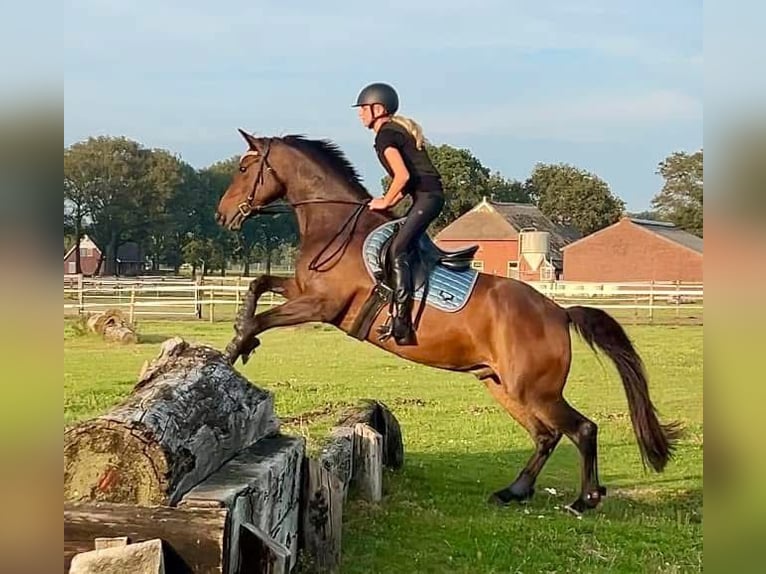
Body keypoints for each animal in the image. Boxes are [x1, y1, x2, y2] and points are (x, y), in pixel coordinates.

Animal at [214, 129, 682, 515]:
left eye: (243, 168)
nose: (221, 214)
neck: (335, 224)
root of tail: (558, 312)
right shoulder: (301, 290)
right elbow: (258, 284)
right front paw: (241, 344)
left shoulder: (322, 305)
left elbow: (262, 318)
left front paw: (234, 351)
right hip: (503, 385)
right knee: (545, 436)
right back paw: (514, 491)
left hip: (536, 390)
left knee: (582, 429)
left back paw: (585, 499)